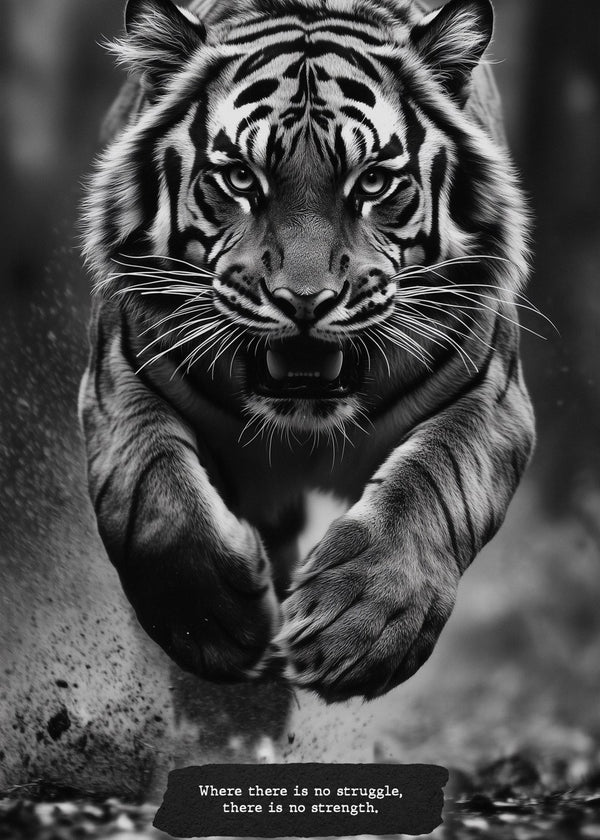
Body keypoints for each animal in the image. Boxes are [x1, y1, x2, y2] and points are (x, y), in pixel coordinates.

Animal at [79, 0, 535, 703]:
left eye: (373, 182)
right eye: (241, 177)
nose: (304, 299)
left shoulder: (493, 399)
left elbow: (433, 481)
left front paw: (358, 632)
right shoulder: (120, 383)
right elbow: (155, 501)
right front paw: (216, 625)